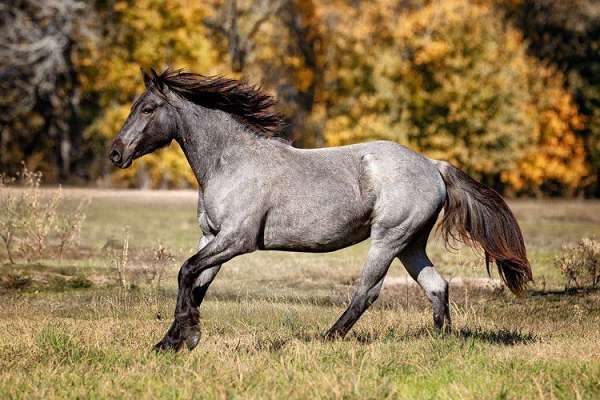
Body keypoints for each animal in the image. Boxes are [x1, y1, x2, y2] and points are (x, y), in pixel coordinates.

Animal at [110, 69, 532, 354]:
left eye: (148, 108)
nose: (115, 152)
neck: (231, 161)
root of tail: (432, 164)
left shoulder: (237, 239)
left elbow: (185, 272)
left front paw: (185, 337)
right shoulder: (211, 236)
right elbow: (196, 283)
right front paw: (174, 341)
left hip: (388, 238)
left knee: (368, 291)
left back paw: (327, 338)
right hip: (411, 243)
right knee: (436, 286)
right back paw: (441, 341)